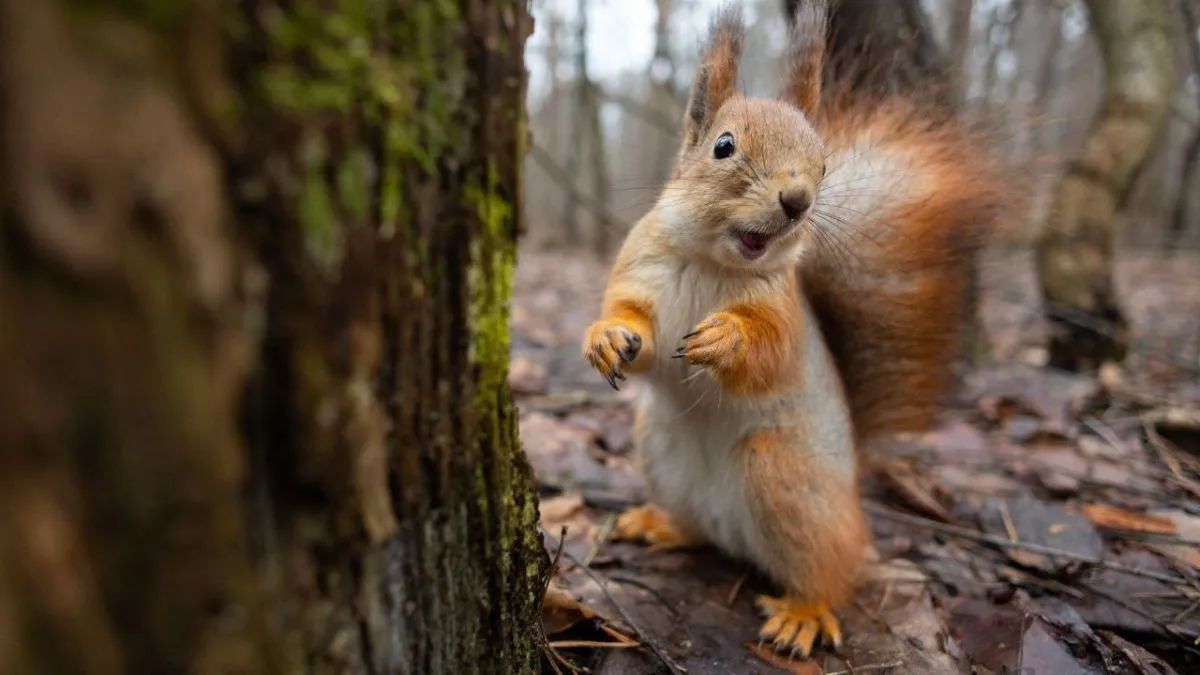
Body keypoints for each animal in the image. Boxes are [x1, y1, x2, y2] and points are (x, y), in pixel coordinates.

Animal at [580, 0, 1003, 658]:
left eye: (823, 163)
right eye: (724, 146)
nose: (798, 199)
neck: (713, 262)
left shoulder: (784, 314)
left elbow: (771, 353)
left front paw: (725, 339)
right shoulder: (640, 271)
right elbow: (634, 327)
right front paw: (605, 337)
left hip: (785, 479)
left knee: (829, 572)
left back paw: (803, 612)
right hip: (661, 451)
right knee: (700, 528)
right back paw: (661, 522)